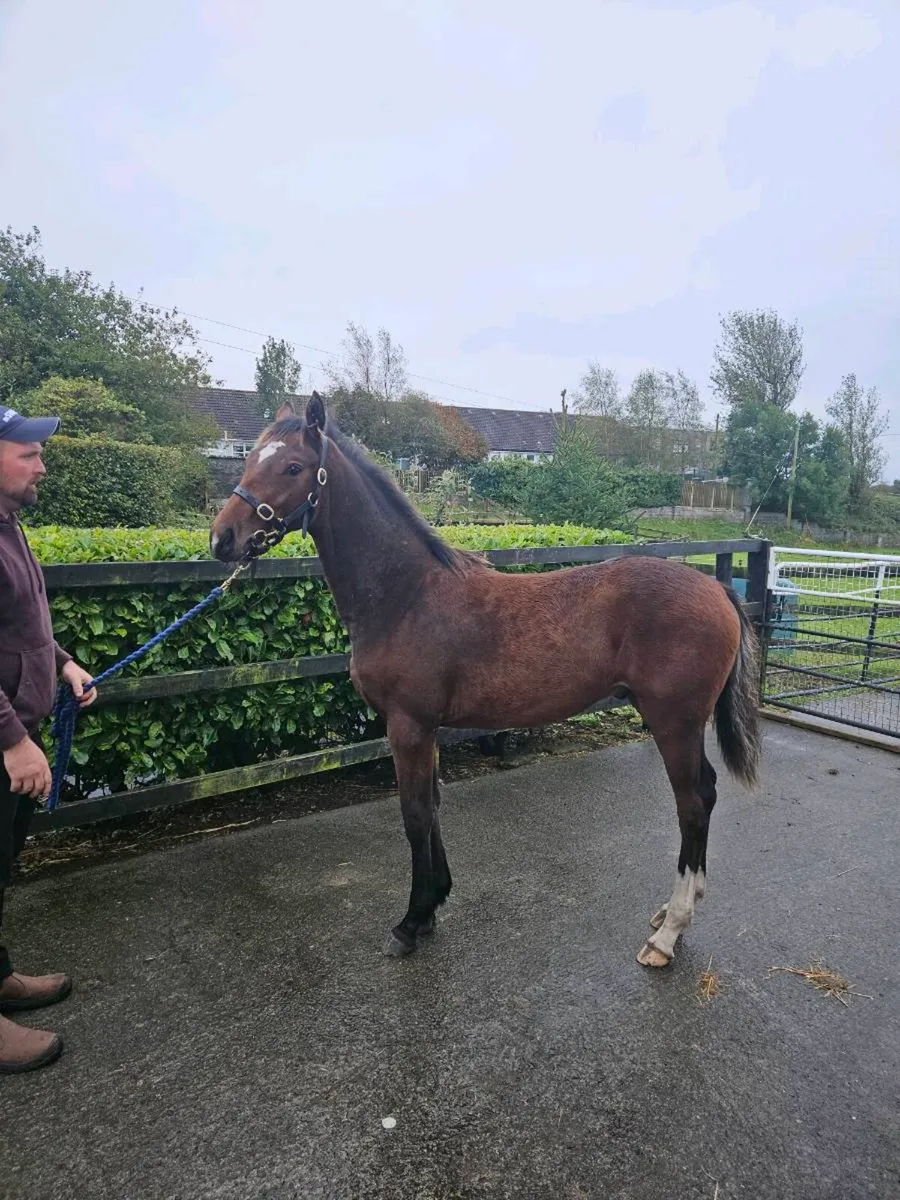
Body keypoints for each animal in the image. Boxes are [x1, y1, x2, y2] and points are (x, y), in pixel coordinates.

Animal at [210, 393, 761, 969]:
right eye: (250, 460)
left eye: (293, 467)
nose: (222, 539)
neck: (407, 594)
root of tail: (718, 590)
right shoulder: (427, 729)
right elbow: (432, 807)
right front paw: (433, 905)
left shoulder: (407, 726)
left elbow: (413, 815)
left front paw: (410, 923)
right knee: (705, 794)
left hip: (674, 723)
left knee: (693, 802)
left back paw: (667, 934)